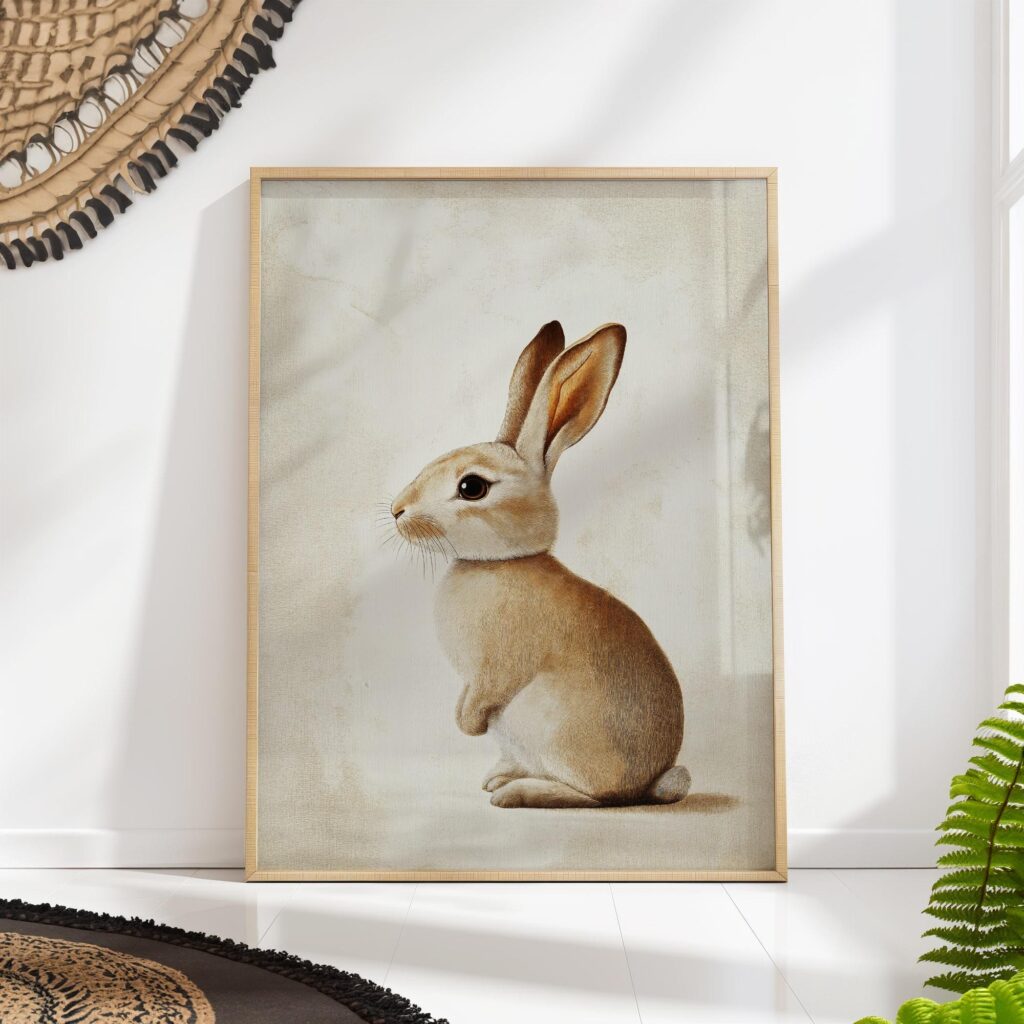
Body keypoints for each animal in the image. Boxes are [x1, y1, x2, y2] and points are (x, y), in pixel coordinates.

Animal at [390, 321, 690, 808]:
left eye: (471, 487)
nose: (397, 510)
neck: (500, 563)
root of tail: (650, 782)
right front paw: (461, 722)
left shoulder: (496, 666)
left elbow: (485, 692)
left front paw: (467, 726)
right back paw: (499, 776)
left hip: (553, 725)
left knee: (595, 797)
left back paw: (513, 793)